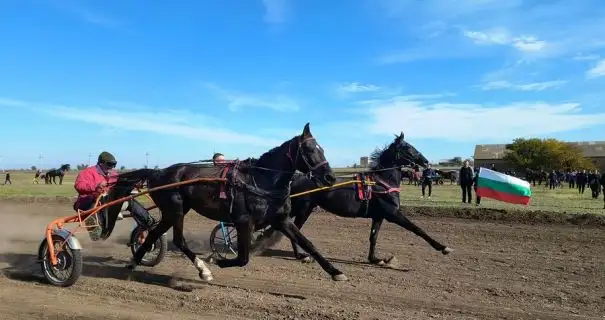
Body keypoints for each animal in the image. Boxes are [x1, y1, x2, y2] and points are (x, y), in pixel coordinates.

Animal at [104, 124, 350, 282]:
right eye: (309, 149)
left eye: (322, 149)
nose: (330, 177)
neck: (262, 181)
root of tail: (158, 172)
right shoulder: (243, 222)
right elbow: (242, 258)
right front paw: (219, 261)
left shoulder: (281, 220)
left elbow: (308, 243)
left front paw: (336, 272)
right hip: (175, 210)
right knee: (176, 239)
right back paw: (203, 270)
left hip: (173, 211)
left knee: (156, 235)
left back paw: (134, 262)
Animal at [256, 132, 452, 264]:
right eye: (408, 147)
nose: (426, 161)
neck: (382, 182)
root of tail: (295, 178)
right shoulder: (392, 213)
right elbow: (417, 229)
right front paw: (443, 247)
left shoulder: (379, 216)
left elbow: (373, 237)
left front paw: (376, 259)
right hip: (303, 208)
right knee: (290, 228)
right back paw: (299, 255)